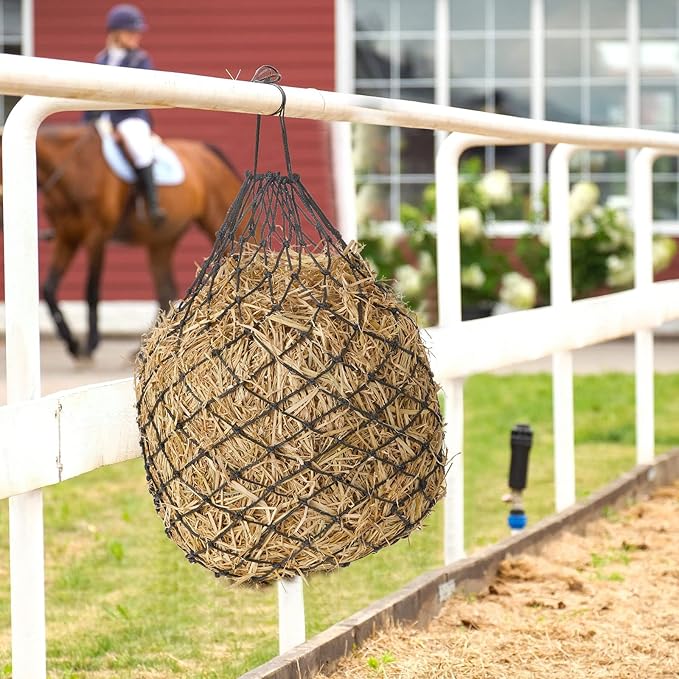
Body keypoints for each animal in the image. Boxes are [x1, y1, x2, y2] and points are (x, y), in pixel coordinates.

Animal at [3, 123, 243, 358]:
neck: (74, 169)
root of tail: (205, 151)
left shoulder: (96, 235)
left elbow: (91, 290)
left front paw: (90, 344)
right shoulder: (66, 236)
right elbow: (49, 289)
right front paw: (72, 343)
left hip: (221, 219)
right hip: (162, 241)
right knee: (165, 289)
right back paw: (146, 347)